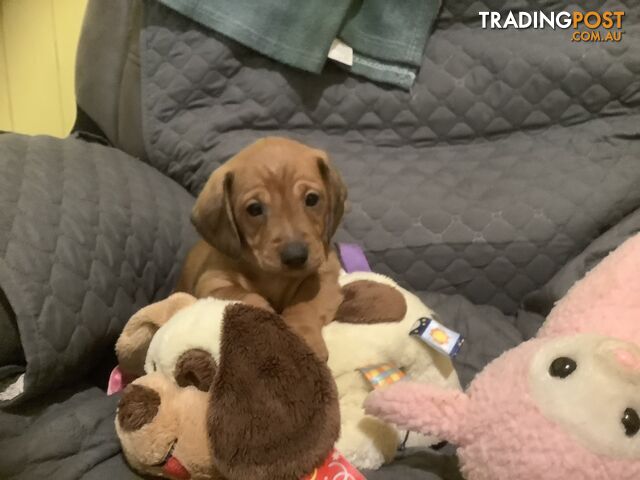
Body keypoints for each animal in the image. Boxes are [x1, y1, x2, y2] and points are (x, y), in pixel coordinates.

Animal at [175, 136, 348, 360]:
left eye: (312, 199)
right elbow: (247, 296)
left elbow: (305, 304)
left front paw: (302, 336)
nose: (296, 256)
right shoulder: (212, 283)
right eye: (255, 209)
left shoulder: (325, 274)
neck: (273, 277)